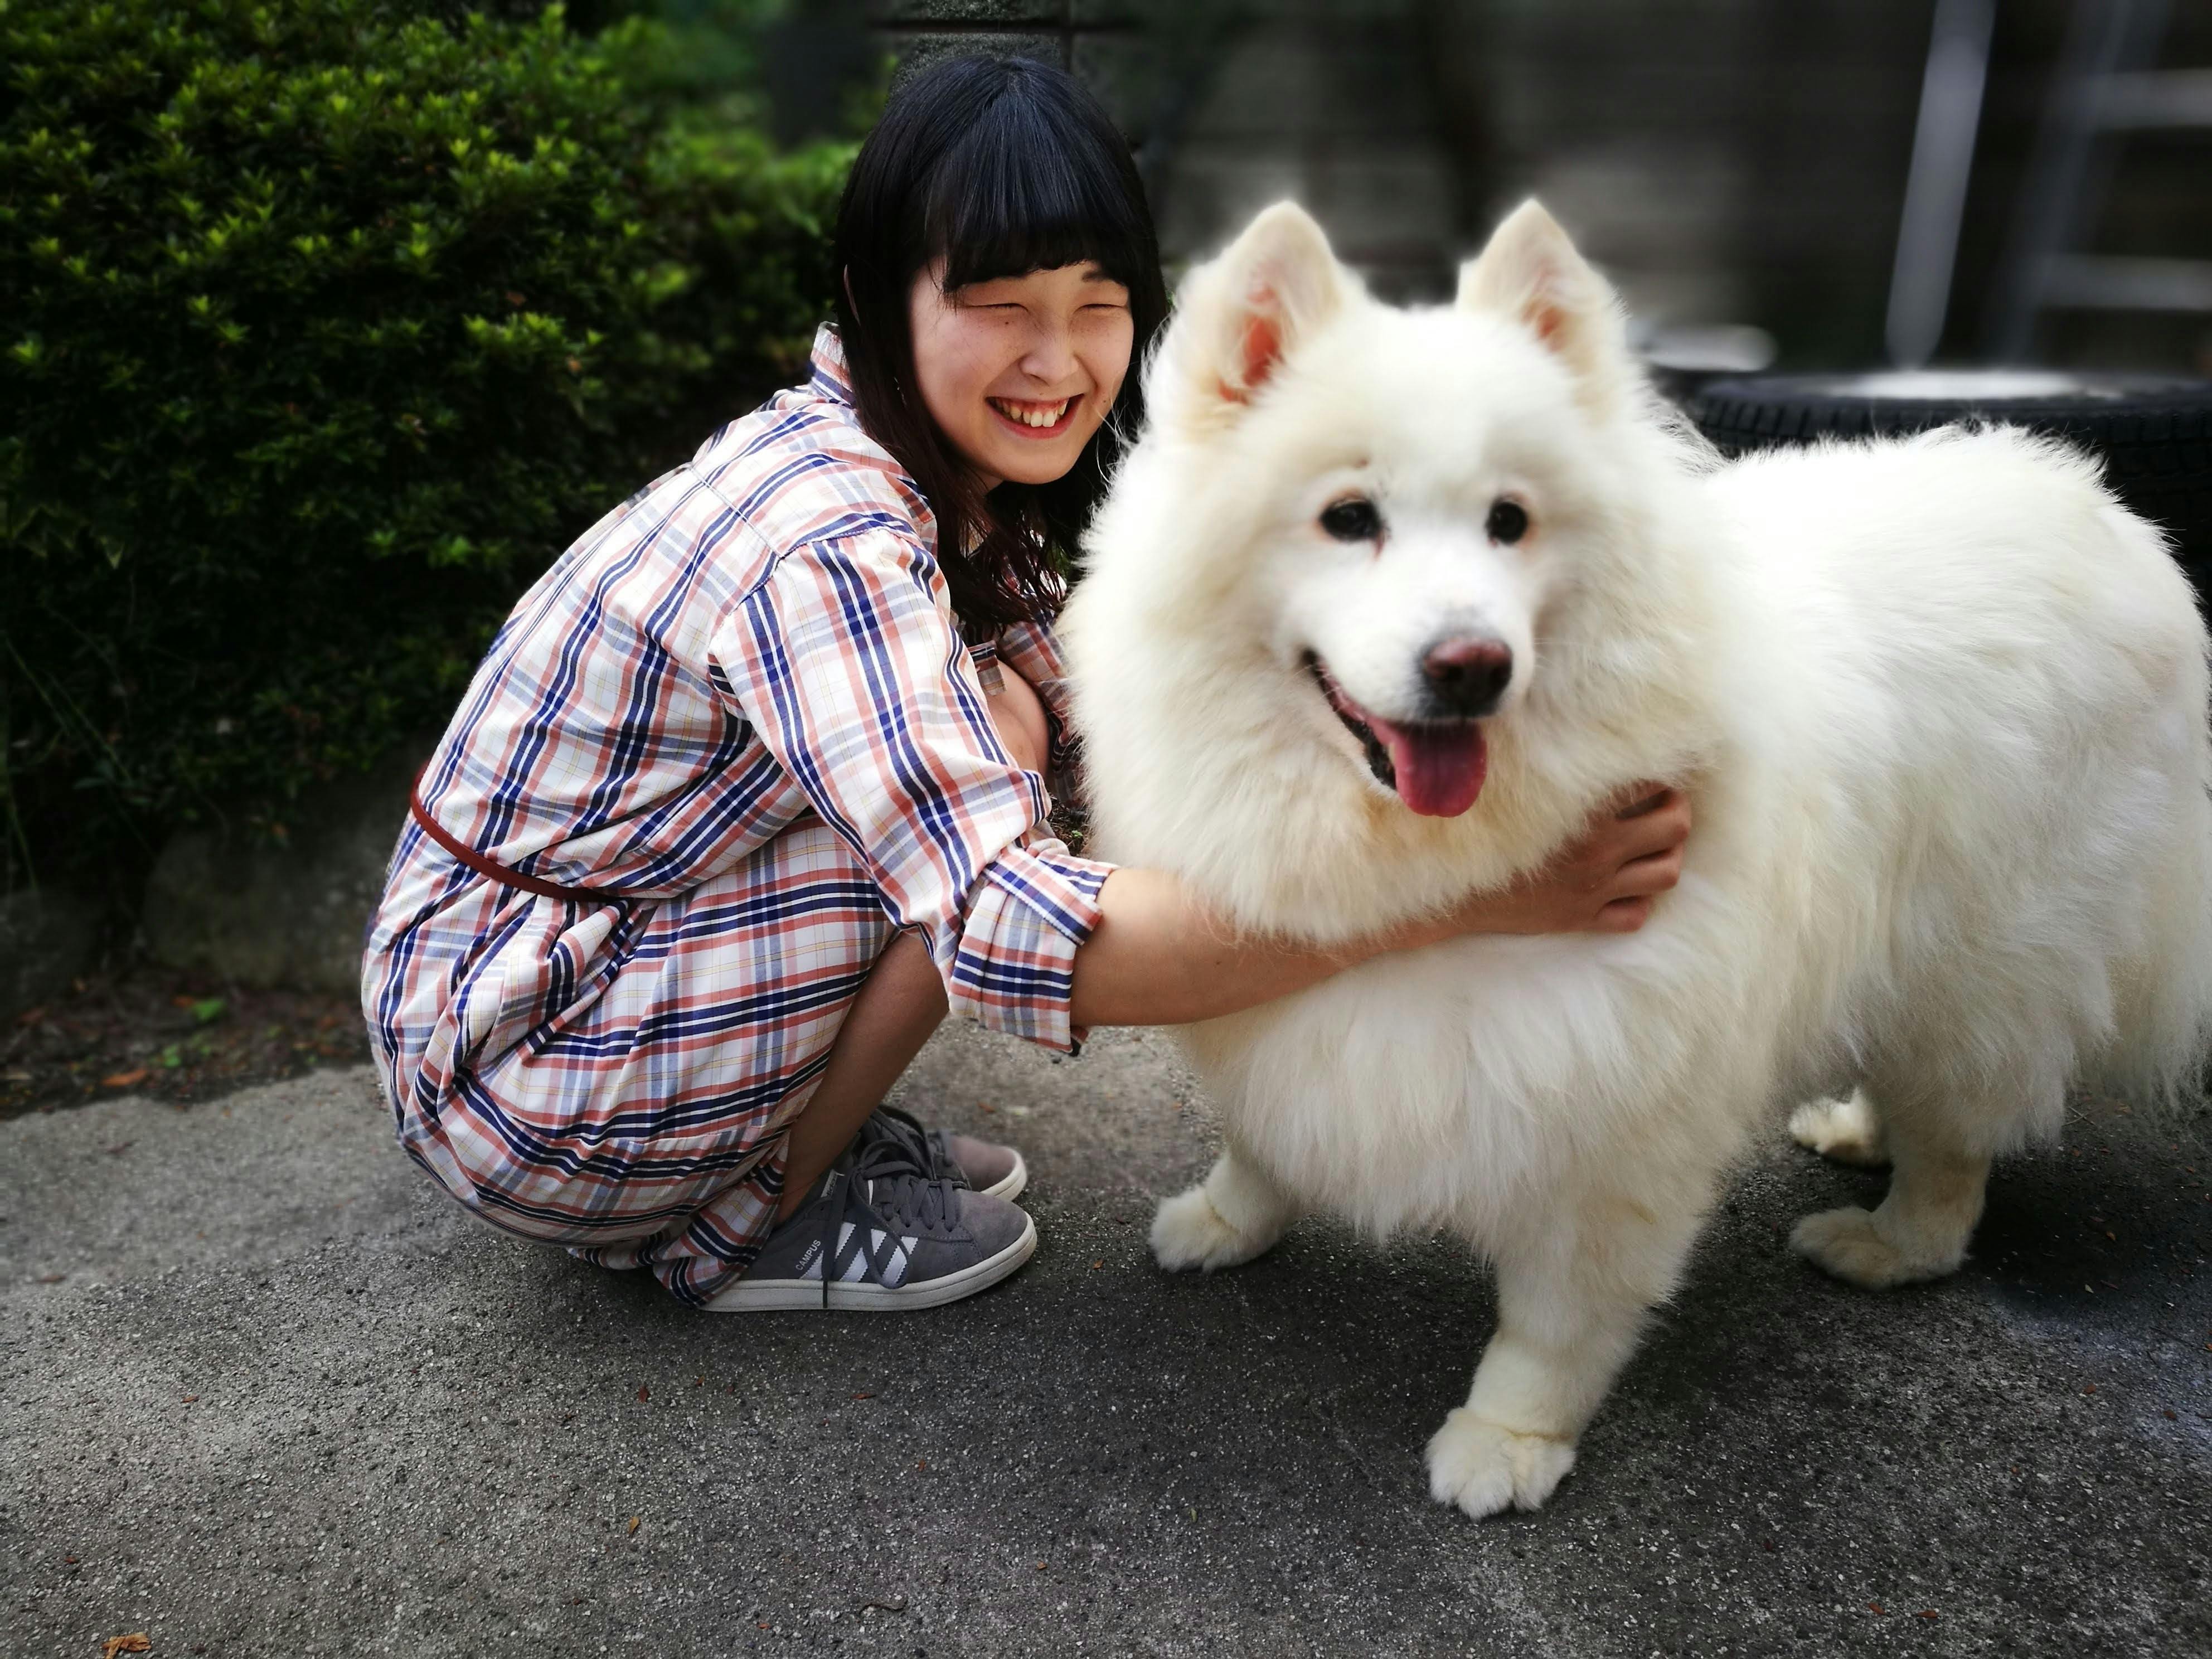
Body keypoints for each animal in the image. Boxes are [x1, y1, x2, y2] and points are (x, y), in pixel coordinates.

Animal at [1058, 199, 2212, 1519]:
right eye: (1349, 519)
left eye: (1509, 522)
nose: (1472, 666)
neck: (1432, 865)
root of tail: (2114, 520)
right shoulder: (1278, 998)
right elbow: (1260, 1139)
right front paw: (1224, 1219)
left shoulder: (1613, 1110)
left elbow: (1555, 1317)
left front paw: (1508, 1440)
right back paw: (1855, 1130)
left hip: (1983, 966)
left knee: (1957, 1149)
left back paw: (1883, 1238)